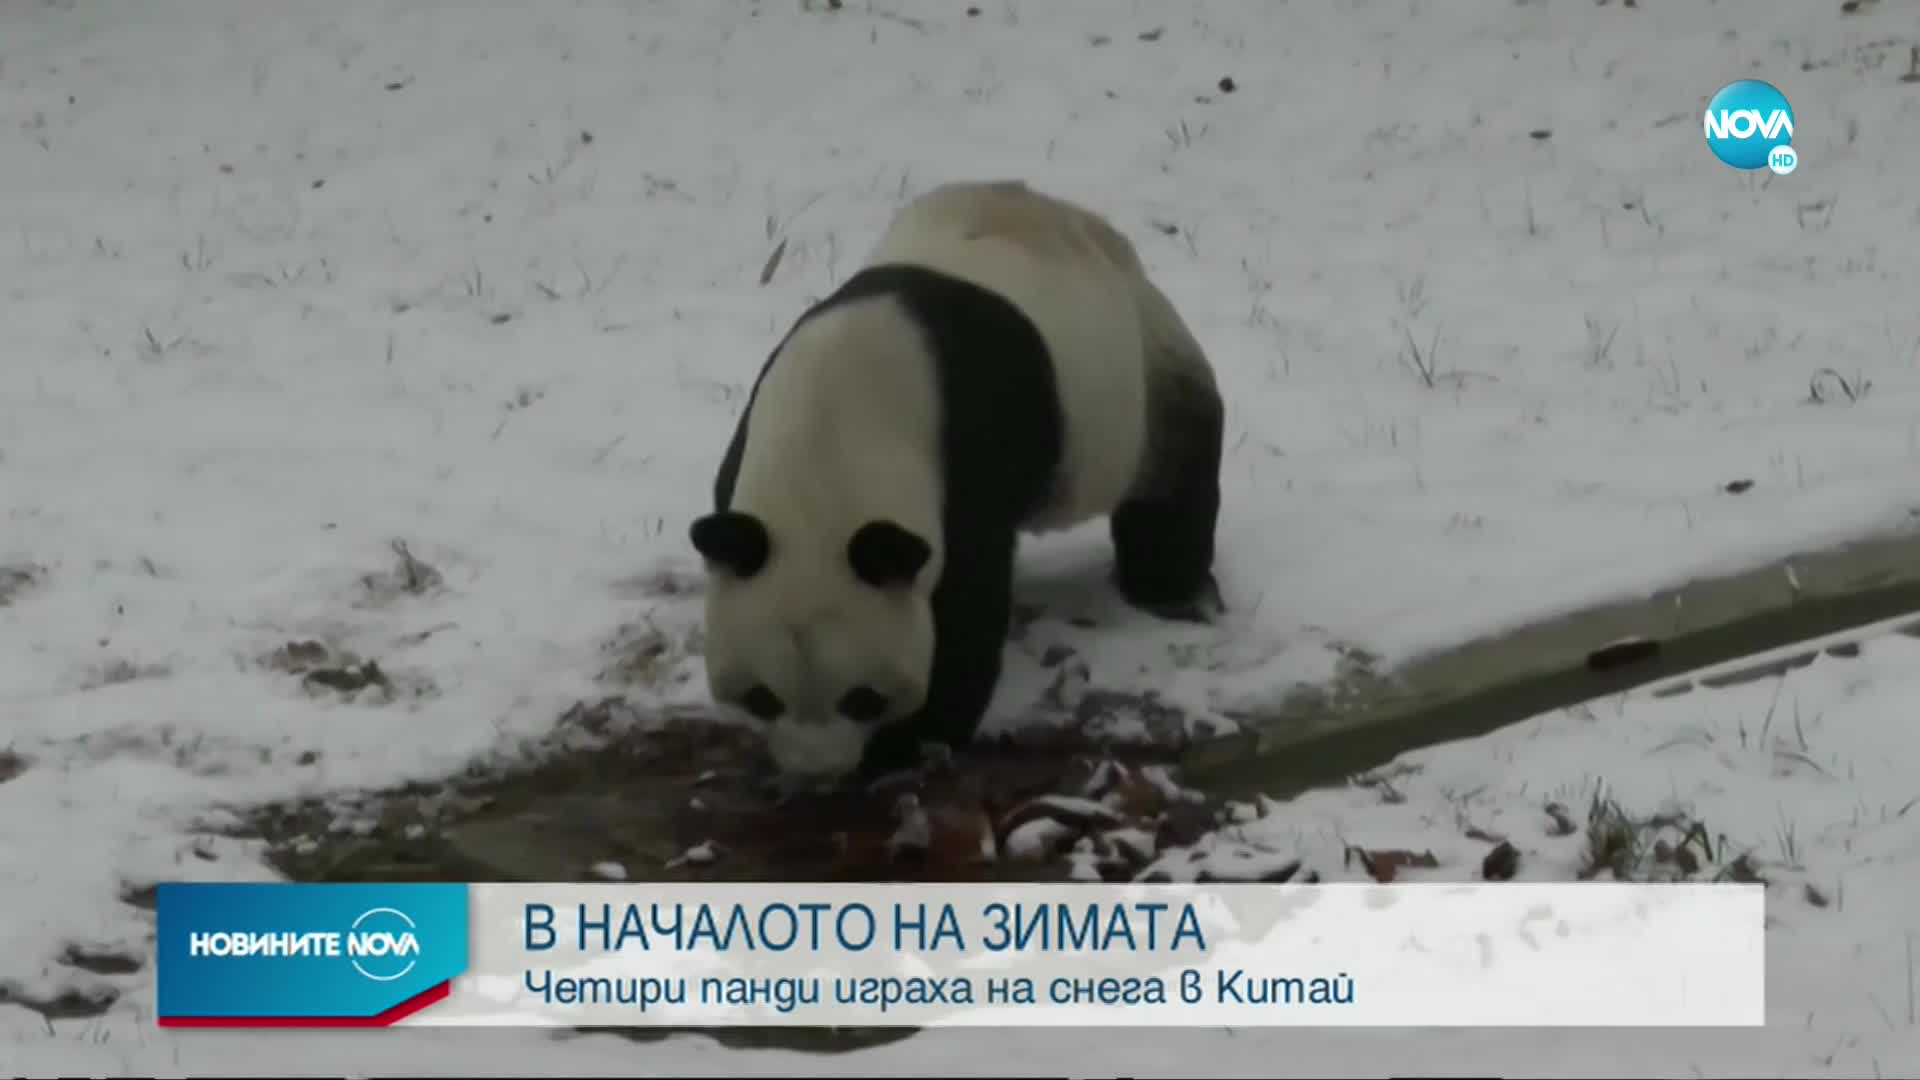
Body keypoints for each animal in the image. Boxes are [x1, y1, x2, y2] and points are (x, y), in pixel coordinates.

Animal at [698, 180, 1221, 787]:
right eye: (762, 697)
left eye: (862, 699)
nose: (817, 773)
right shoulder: (751, 443)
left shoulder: (969, 450)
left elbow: (966, 608)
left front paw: (911, 740)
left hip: (1144, 375)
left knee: (1172, 488)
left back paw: (1170, 590)